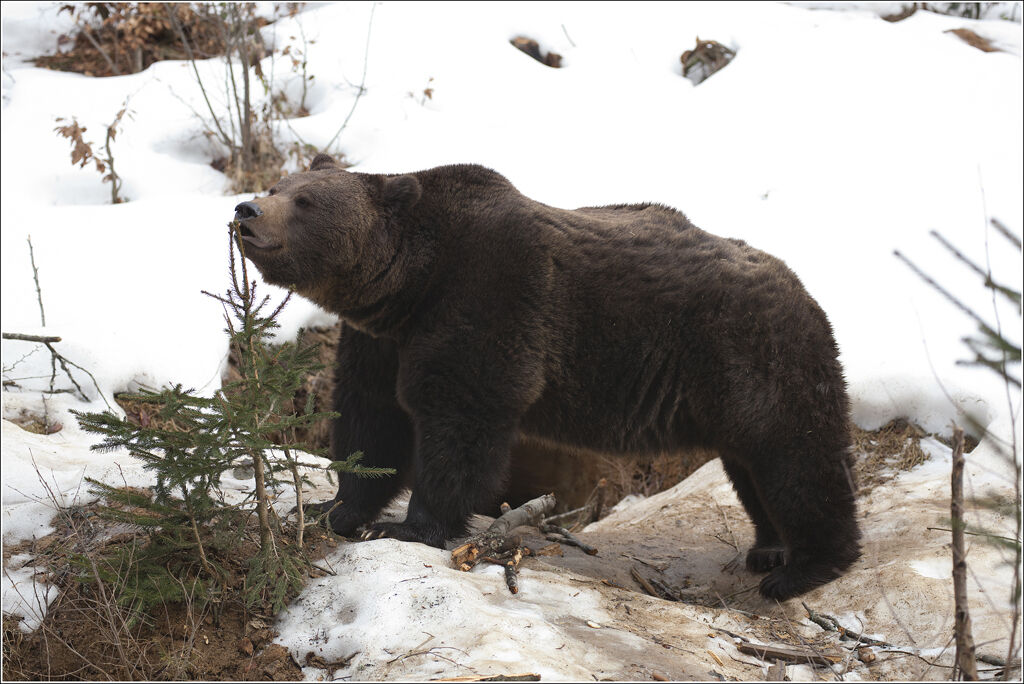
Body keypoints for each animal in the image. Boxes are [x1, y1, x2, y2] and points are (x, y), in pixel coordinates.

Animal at [233, 153, 861, 600]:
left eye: (305, 200)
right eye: (277, 186)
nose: (246, 210)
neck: (409, 285)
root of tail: (801, 287)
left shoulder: (490, 297)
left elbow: (460, 417)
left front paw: (411, 527)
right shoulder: (382, 340)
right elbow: (372, 421)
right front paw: (333, 510)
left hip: (754, 356)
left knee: (798, 460)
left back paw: (804, 568)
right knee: (753, 469)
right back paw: (769, 549)